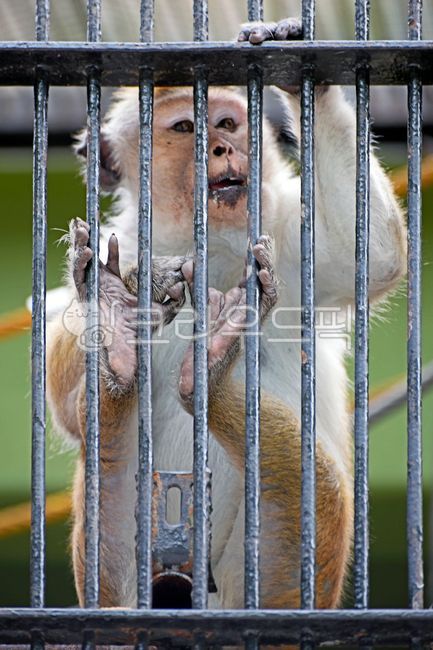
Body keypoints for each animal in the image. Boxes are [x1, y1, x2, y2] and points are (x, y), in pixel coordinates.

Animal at [46, 17, 406, 616]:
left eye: (227, 122)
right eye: (185, 127)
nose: (221, 148)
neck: (207, 247)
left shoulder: (285, 247)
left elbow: (371, 255)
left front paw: (297, 66)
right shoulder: (119, 247)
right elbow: (63, 402)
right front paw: (114, 311)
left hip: (278, 577)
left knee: (310, 484)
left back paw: (212, 380)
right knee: (105, 442)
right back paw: (123, 351)